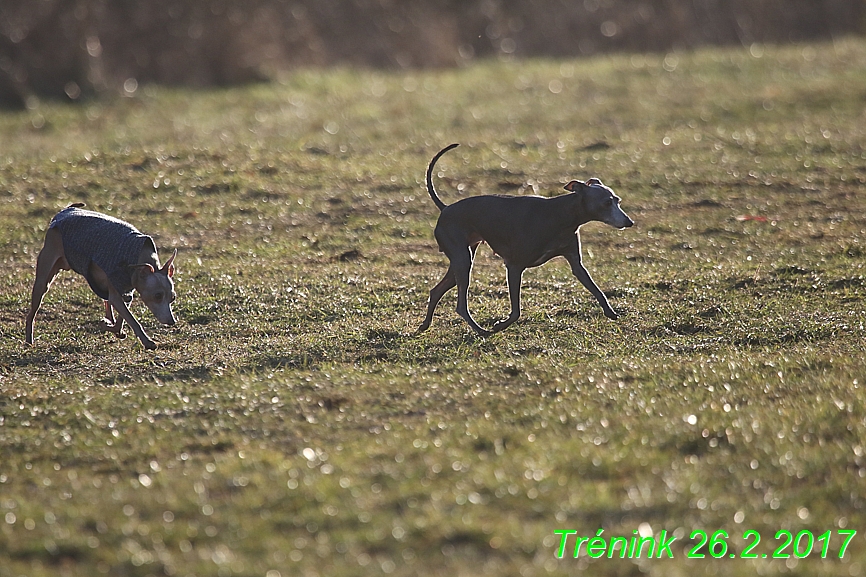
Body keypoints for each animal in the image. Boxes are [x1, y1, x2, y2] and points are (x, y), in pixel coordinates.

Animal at [416, 142, 632, 336]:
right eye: (606, 203)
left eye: (618, 201)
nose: (629, 222)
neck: (560, 214)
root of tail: (445, 208)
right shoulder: (514, 266)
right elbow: (516, 312)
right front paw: (499, 325)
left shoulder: (575, 262)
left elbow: (596, 289)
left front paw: (610, 311)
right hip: (462, 259)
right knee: (460, 305)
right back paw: (481, 331)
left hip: (462, 258)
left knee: (436, 291)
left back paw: (425, 325)